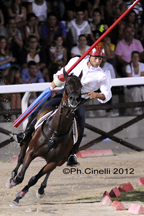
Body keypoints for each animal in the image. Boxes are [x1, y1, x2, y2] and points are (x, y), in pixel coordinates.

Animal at [6, 69, 82, 206]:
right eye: (66, 84)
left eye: (81, 85)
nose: (74, 99)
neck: (55, 133)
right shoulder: (31, 151)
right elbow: (21, 176)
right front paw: (14, 182)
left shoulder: (54, 161)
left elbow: (34, 179)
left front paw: (20, 195)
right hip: (27, 140)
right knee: (20, 157)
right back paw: (12, 177)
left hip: (58, 161)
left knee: (46, 173)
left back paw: (41, 189)